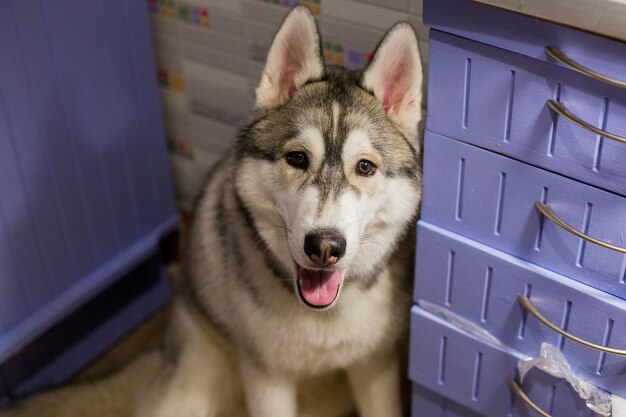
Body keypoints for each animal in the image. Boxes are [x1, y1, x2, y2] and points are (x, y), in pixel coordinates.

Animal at [134, 6, 422, 416]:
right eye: (298, 158)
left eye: (365, 167)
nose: (325, 247)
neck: (322, 318)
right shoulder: (267, 377)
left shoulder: (375, 365)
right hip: (191, 388)